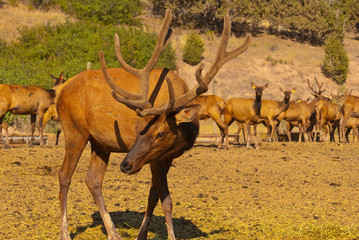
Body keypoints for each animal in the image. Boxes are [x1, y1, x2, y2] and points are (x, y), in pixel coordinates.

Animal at [56, 9, 252, 240]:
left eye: (160, 134)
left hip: (100, 143)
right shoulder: (154, 158)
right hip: (74, 130)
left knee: (93, 180)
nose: (125, 165)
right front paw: (171, 236)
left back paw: (114, 233)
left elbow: (153, 197)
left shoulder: (165, 157)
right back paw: (65, 233)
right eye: (138, 129)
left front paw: (141, 235)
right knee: (64, 175)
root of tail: (60, 92)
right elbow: (166, 201)